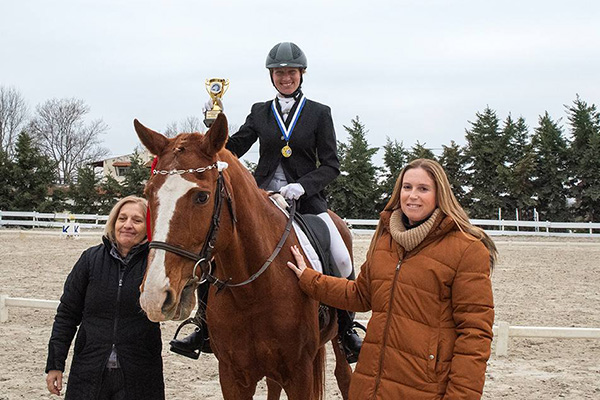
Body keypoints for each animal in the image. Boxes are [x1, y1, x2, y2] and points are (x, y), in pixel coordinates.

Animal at [135, 113, 353, 400]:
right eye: (148, 193)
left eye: (202, 197)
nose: (154, 297)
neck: (252, 293)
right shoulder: (232, 375)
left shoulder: (300, 375)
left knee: (344, 375)